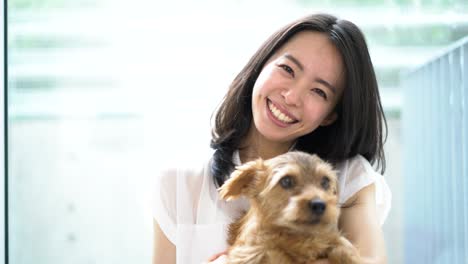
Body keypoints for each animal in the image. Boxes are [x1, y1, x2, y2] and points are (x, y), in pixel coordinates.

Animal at [219, 151, 362, 264]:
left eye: (325, 181)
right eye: (286, 181)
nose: (319, 204)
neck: (297, 236)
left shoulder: (335, 240)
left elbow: (344, 249)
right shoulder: (247, 253)